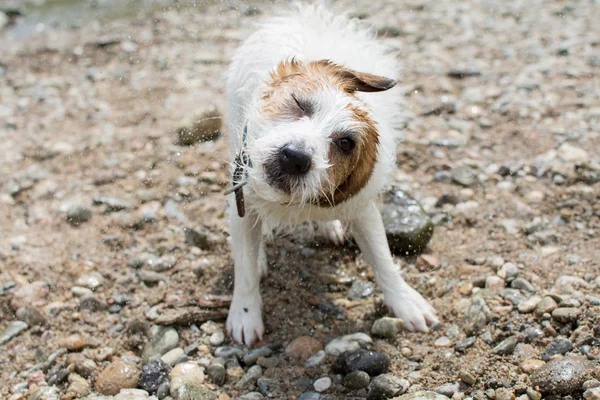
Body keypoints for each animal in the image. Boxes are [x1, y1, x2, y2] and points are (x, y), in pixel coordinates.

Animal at [223, 2, 438, 346]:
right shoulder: (241, 196)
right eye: (299, 102)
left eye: (346, 143)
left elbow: (383, 259)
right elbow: (244, 268)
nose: (295, 157)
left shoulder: (362, 209)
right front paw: (245, 312)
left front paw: (405, 301)